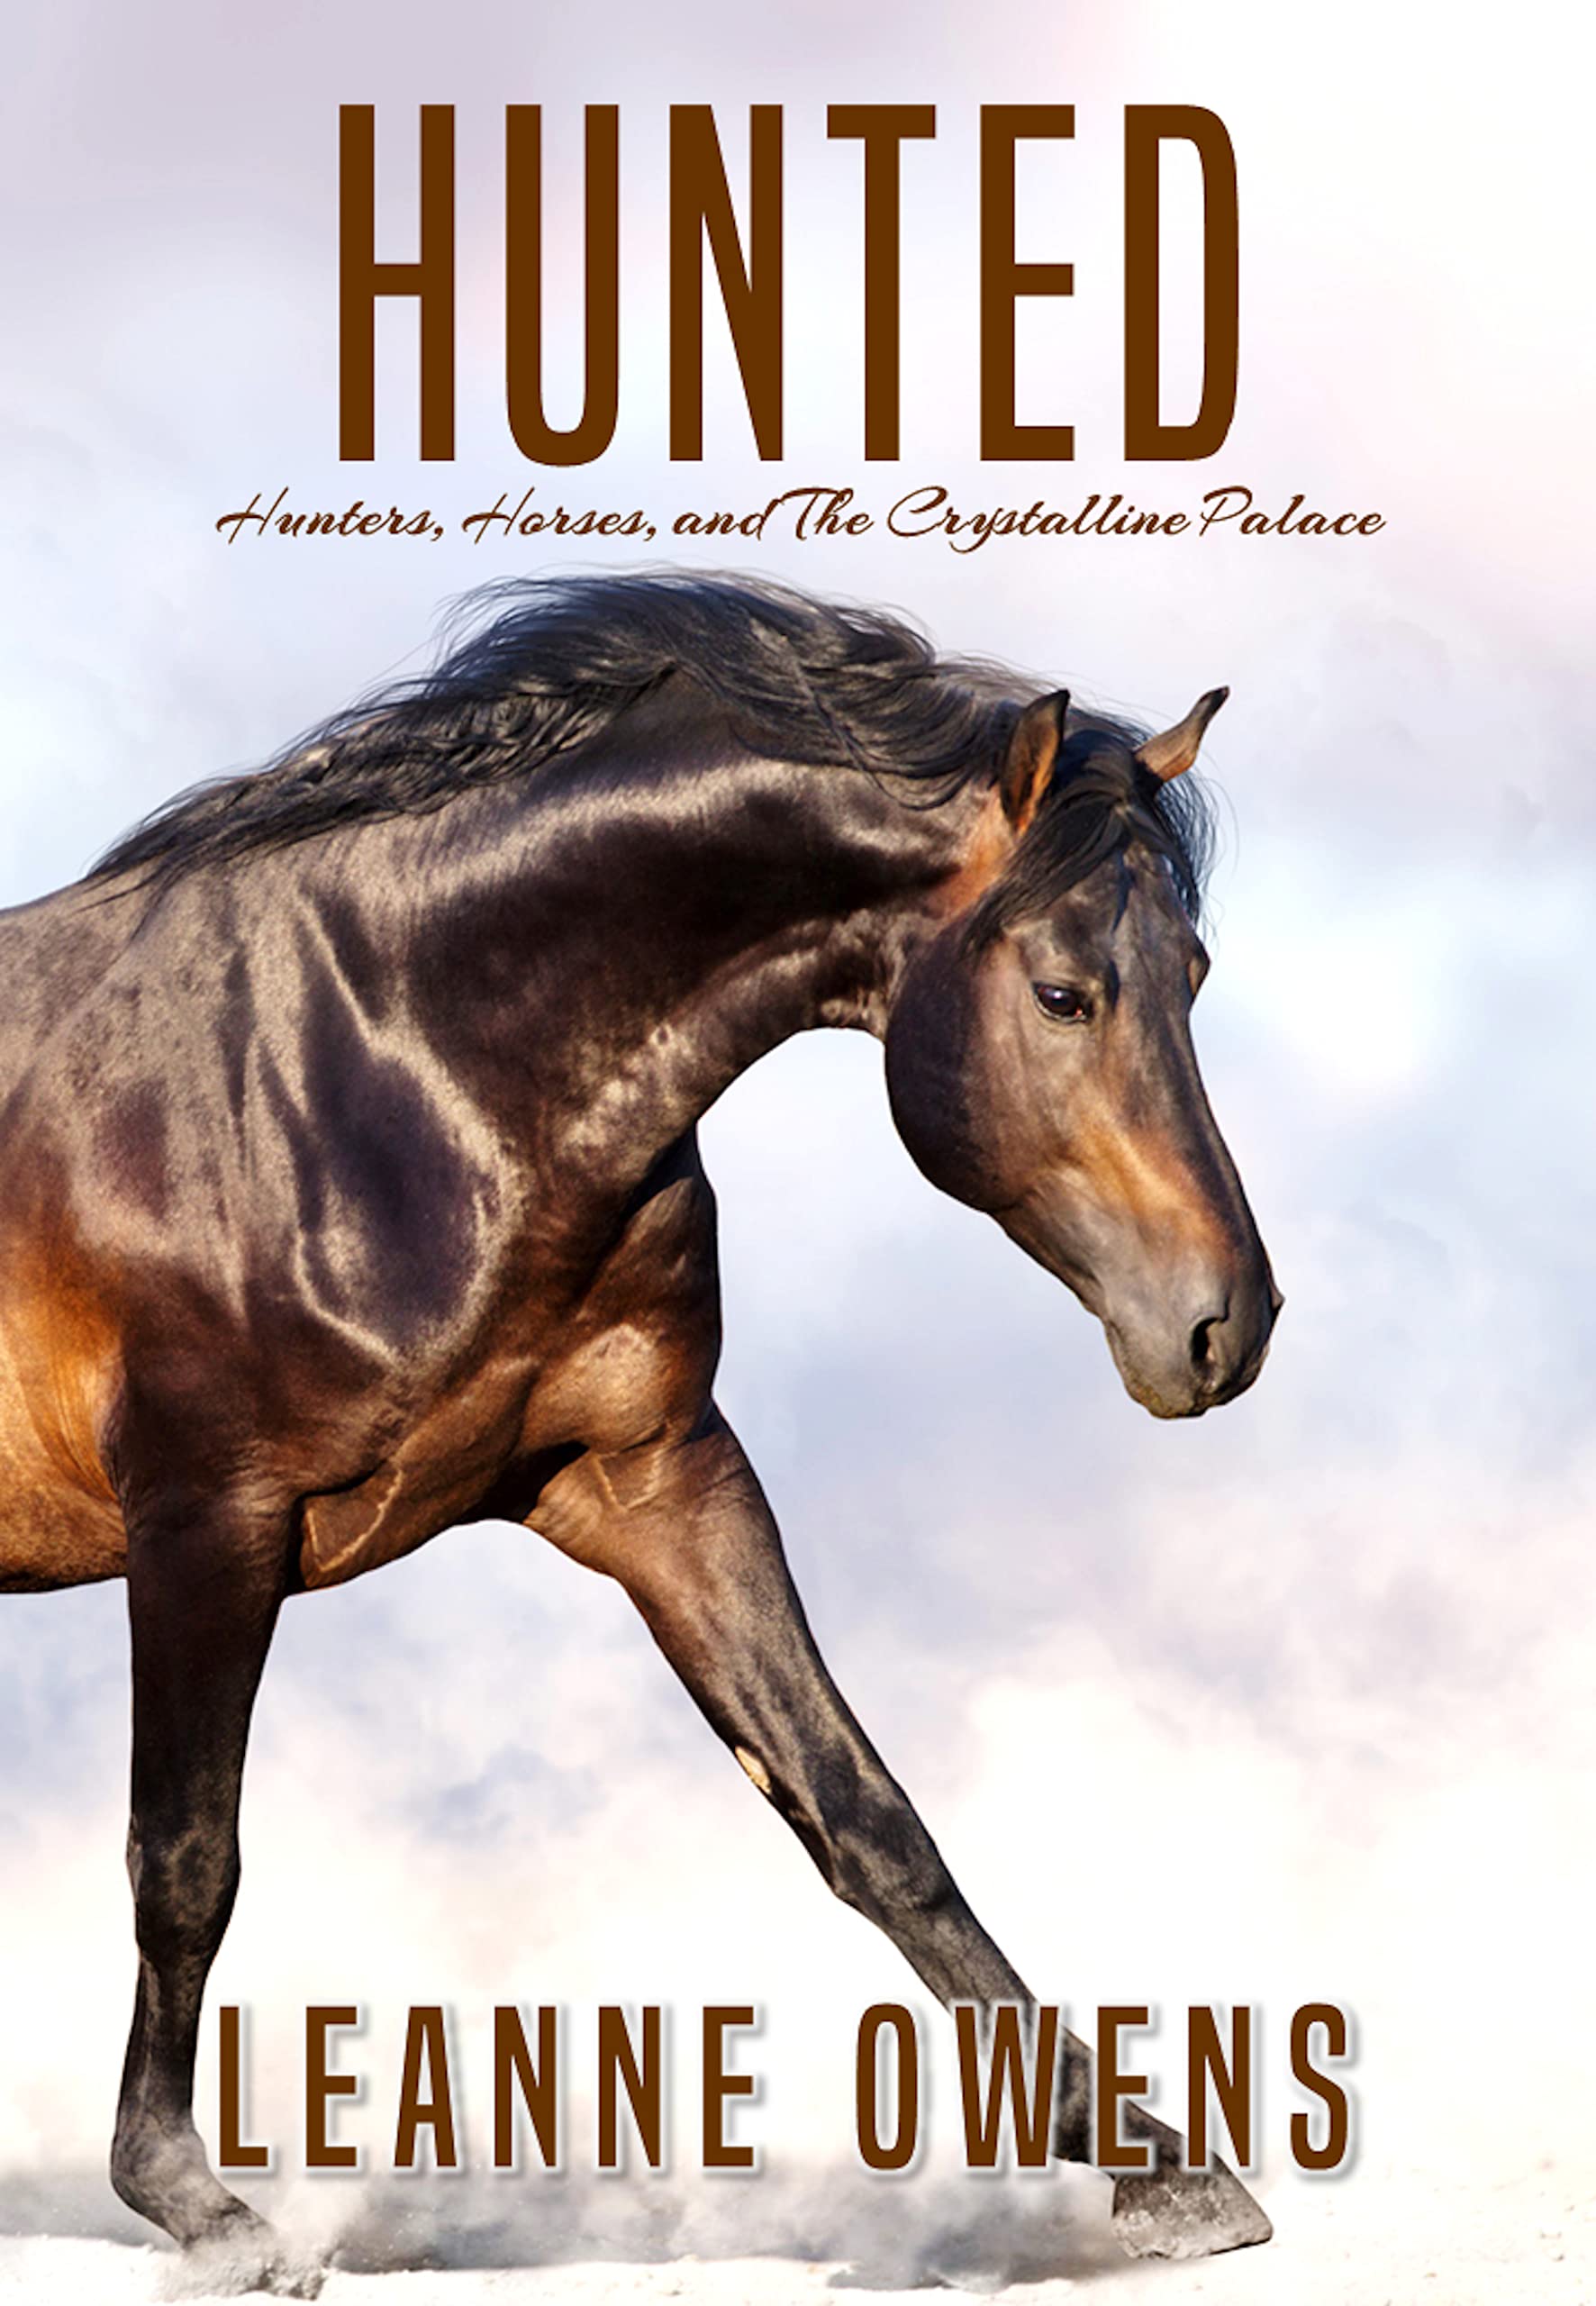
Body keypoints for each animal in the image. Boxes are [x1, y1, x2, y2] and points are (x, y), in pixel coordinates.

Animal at [0, 571, 1280, 2290]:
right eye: (1065, 993)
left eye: (1193, 975)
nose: (1227, 1326)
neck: (399, 1076)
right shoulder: (208, 1526)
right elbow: (187, 1858)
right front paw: (197, 2203)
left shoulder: (653, 1482)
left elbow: (862, 1812)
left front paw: (1153, 2161)